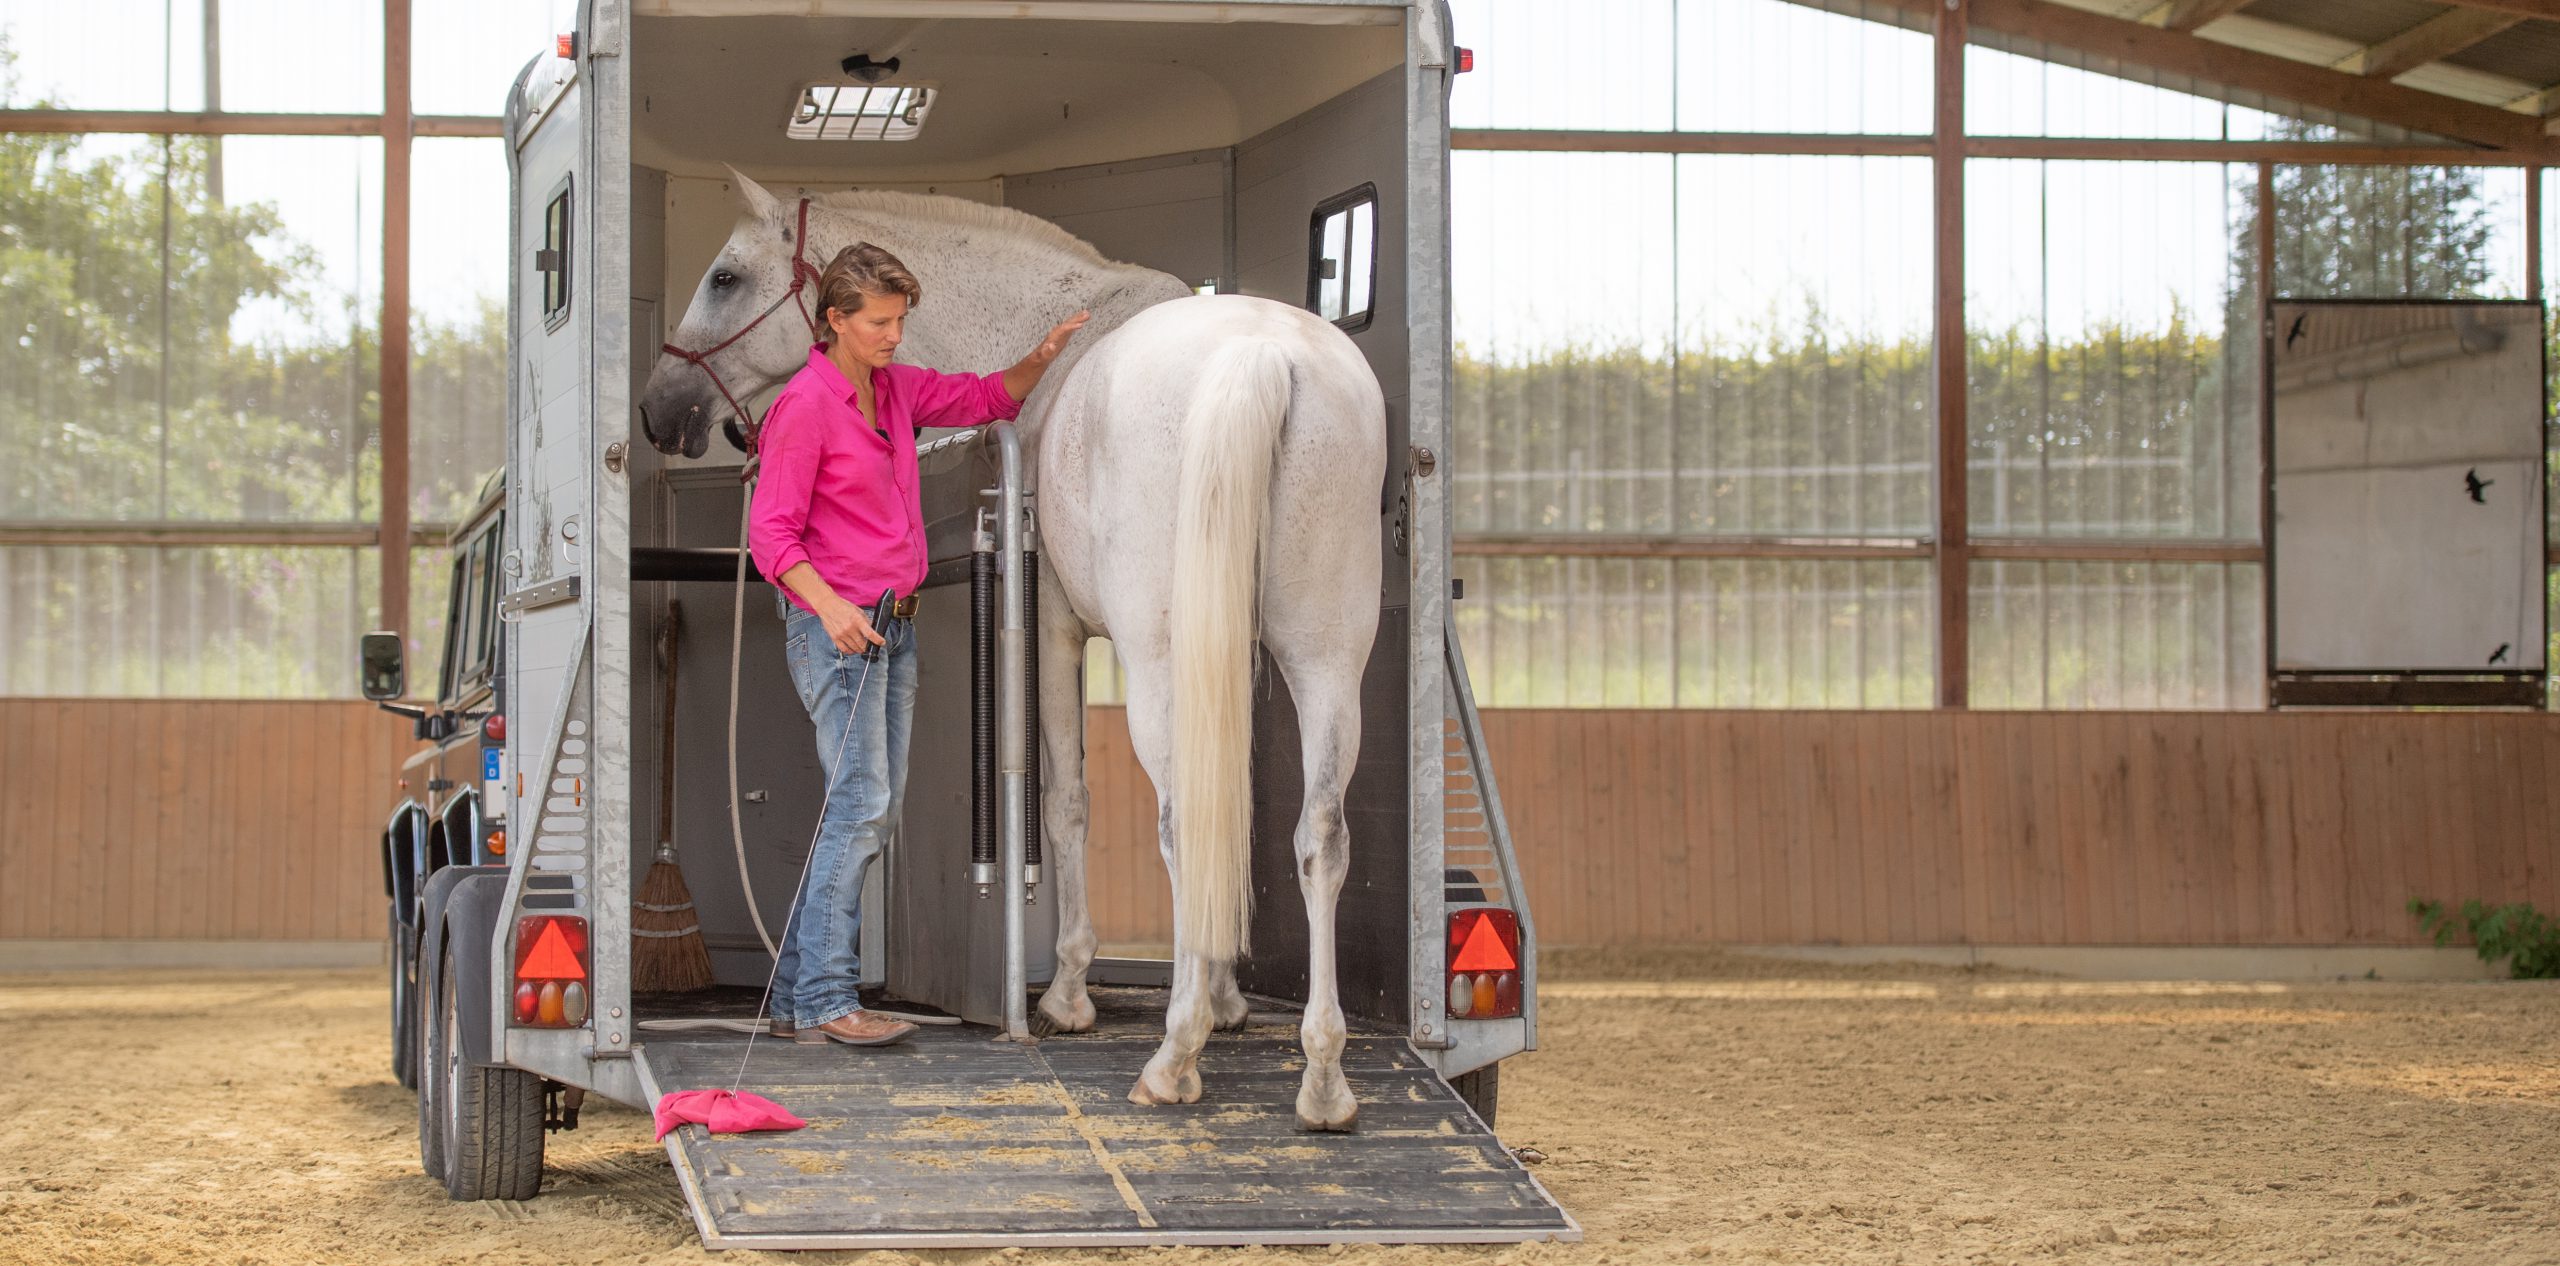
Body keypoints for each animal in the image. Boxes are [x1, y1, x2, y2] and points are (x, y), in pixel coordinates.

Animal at [637, 176, 1382, 1130]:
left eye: (726, 276)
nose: (661, 411)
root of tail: (1263, 358)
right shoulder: (1239, 655)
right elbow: (1234, 807)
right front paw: (1225, 997)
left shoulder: (1058, 630)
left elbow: (1065, 805)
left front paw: (1069, 996)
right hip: (1326, 659)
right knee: (1317, 836)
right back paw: (1322, 1079)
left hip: (1165, 663)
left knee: (1181, 822)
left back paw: (1174, 1059)